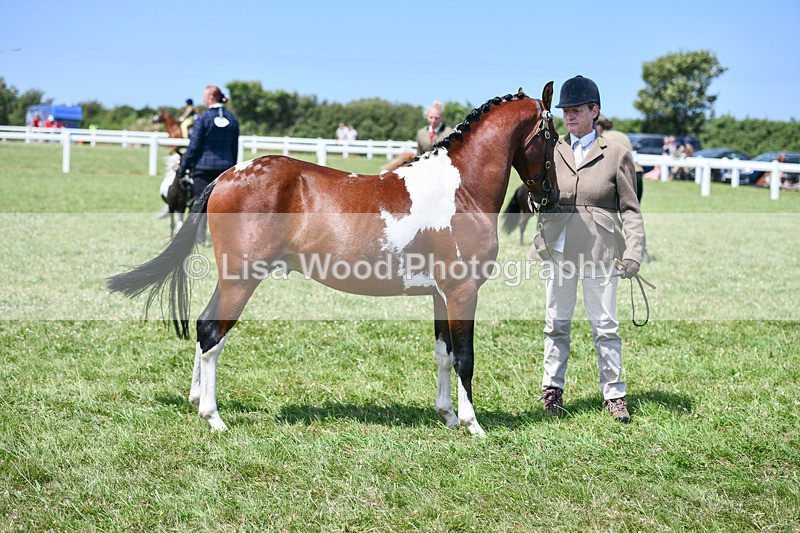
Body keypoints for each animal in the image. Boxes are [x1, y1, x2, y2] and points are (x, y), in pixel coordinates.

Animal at [108, 82, 559, 436]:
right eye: (552, 137)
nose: (549, 196)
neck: (459, 190)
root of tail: (226, 177)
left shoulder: (440, 295)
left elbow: (444, 355)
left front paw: (447, 415)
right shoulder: (463, 291)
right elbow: (466, 358)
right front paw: (473, 425)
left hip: (230, 279)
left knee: (205, 329)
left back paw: (197, 399)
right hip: (241, 279)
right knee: (211, 332)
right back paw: (213, 417)